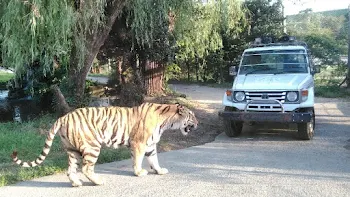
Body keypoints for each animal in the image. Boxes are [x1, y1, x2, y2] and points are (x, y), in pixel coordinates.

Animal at [10, 102, 197, 187]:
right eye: (192, 116)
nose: (198, 123)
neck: (167, 121)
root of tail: (63, 117)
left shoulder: (150, 145)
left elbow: (154, 160)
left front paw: (159, 171)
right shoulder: (139, 143)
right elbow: (138, 160)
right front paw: (139, 173)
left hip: (72, 150)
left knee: (71, 169)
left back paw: (76, 183)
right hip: (92, 146)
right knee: (86, 168)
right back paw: (99, 181)